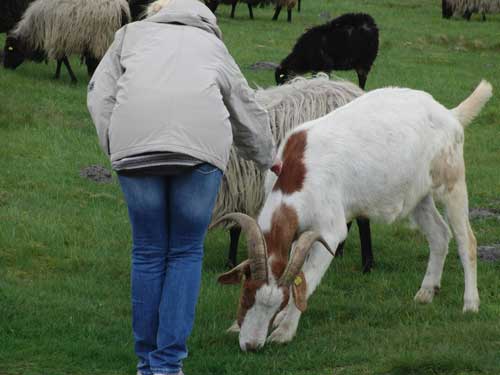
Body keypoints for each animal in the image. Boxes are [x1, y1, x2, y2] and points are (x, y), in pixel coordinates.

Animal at [2, 0, 131, 83]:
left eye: (9, 49)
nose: (5, 68)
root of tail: (122, 8)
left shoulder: (58, 39)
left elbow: (63, 60)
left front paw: (71, 79)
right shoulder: (61, 40)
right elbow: (62, 61)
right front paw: (57, 76)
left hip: (102, 37)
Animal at [209, 75, 374, 274]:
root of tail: (355, 92)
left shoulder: (240, 188)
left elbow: (236, 228)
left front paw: (230, 263)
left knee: (363, 221)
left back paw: (367, 265)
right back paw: (339, 252)